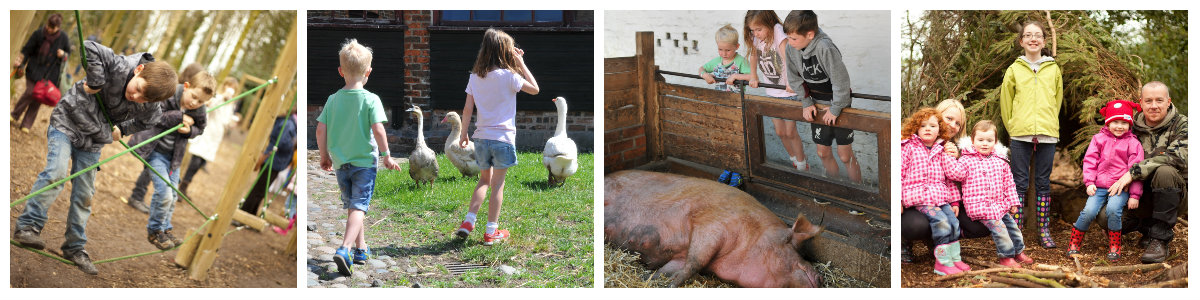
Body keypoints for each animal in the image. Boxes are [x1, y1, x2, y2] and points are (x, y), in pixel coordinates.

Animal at [604, 170, 820, 286]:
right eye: (791, 243)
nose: (820, 279)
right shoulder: (711, 226)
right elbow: (695, 263)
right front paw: (671, 286)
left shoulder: (680, 256)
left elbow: (673, 267)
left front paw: (652, 279)